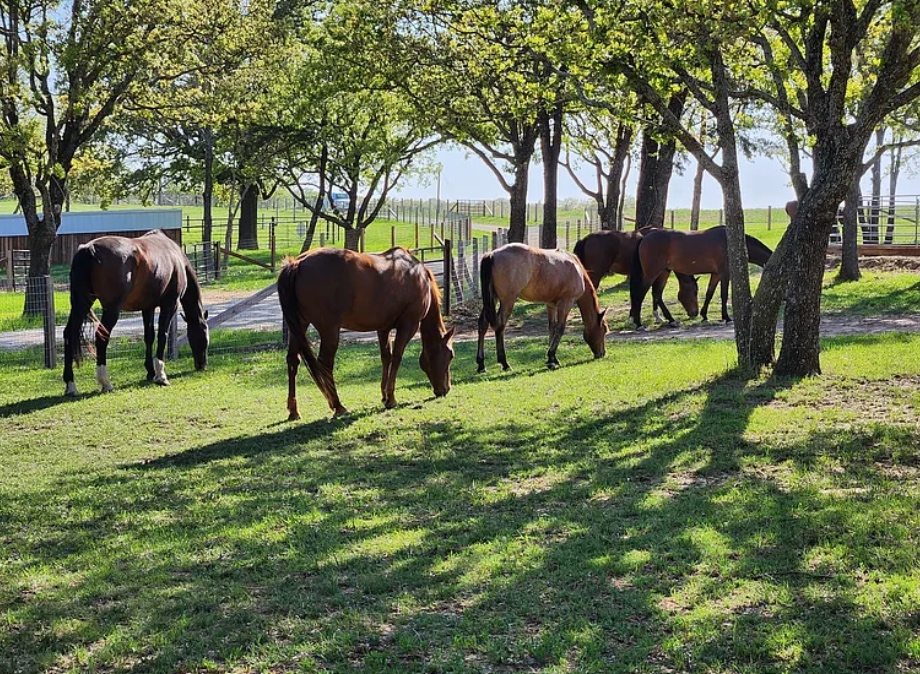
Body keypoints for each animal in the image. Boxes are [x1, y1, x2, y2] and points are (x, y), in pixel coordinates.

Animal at [63, 229, 210, 396]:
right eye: (205, 336)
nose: (202, 365)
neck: (176, 259)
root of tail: (89, 249)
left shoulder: (148, 307)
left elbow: (149, 336)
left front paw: (150, 372)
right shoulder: (170, 304)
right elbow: (162, 335)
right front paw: (161, 375)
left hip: (81, 304)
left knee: (69, 334)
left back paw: (71, 385)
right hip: (111, 309)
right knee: (101, 336)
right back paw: (106, 383)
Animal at [277, 246, 455, 419]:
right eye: (451, 355)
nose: (445, 389)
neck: (418, 276)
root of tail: (297, 263)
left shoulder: (383, 328)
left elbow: (386, 357)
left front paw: (384, 395)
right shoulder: (408, 325)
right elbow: (397, 357)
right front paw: (391, 398)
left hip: (300, 325)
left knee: (293, 360)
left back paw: (294, 411)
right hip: (329, 331)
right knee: (325, 364)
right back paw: (338, 406)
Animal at [476, 243, 608, 372]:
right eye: (604, 330)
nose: (602, 353)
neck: (576, 268)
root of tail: (491, 255)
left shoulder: (551, 304)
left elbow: (552, 327)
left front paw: (553, 359)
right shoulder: (567, 302)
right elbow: (560, 328)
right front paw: (551, 356)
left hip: (492, 298)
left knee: (483, 324)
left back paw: (481, 364)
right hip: (508, 301)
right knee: (500, 327)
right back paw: (504, 363)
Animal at [629, 226, 773, 329]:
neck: (730, 243)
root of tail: (644, 238)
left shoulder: (716, 274)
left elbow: (709, 294)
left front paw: (704, 315)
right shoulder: (725, 274)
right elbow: (724, 295)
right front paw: (726, 317)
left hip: (664, 272)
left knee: (657, 294)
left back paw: (671, 320)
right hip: (651, 274)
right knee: (640, 294)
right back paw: (639, 323)